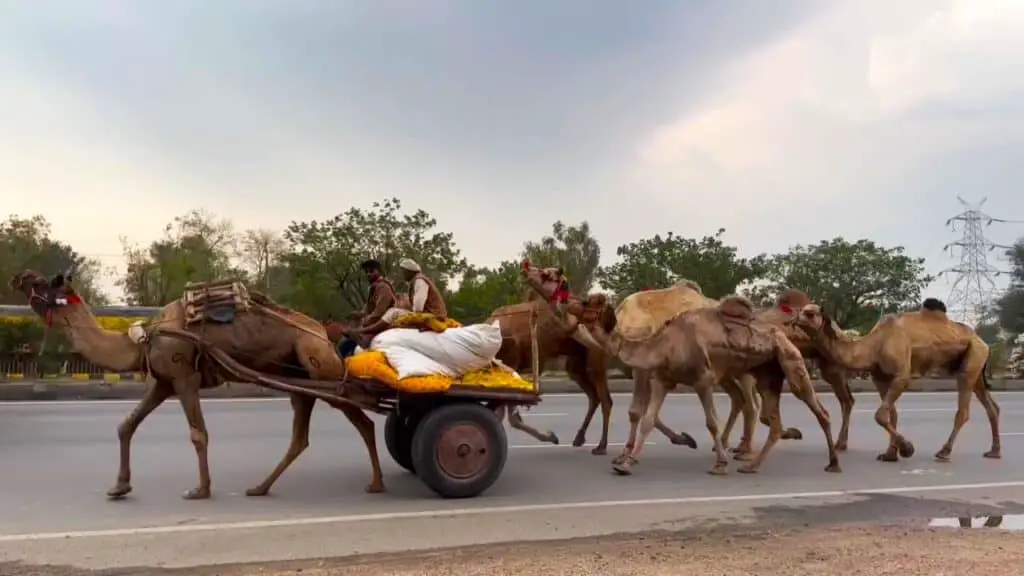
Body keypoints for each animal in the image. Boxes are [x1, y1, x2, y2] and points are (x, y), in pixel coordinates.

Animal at [9, 268, 385, 498]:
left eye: (42, 282)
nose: (19, 276)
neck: (143, 340)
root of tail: (323, 332)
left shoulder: (183, 377)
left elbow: (197, 433)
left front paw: (200, 490)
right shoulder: (163, 381)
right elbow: (126, 425)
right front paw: (119, 487)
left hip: (321, 367)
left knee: (363, 420)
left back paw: (376, 483)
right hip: (301, 380)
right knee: (301, 437)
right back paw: (259, 488)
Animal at [485, 262, 696, 455]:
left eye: (547, 273)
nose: (525, 268)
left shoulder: (513, 363)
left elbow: (511, 417)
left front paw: (551, 436)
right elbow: (505, 415)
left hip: (595, 359)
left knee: (606, 399)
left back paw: (602, 445)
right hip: (576, 364)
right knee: (597, 397)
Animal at [577, 291, 839, 475]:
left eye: (596, 303)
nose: (579, 304)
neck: (663, 343)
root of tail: (785, 332)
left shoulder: (702, 380)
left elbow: (711, 422)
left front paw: (720, 464)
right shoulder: (662, 379)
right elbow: (648, 419)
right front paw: (626, 463)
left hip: (790, 361)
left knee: (818, 410)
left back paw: (833, 462)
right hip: (766, 374)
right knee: (769, 418)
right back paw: (751, 464)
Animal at [790, 295, 999, 461]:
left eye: (810, 313)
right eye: (800, 310)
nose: (794, 318)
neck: (874, 345)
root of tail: (982, 341)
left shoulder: (901, 375)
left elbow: (880, 415)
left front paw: (907, 449)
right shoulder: (880, 378)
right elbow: (891, 414)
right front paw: (890, 454)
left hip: (973, 358)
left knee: (963, 410)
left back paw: (944, 452)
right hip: (974, 365)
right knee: (991, 406)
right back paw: (994, 451)